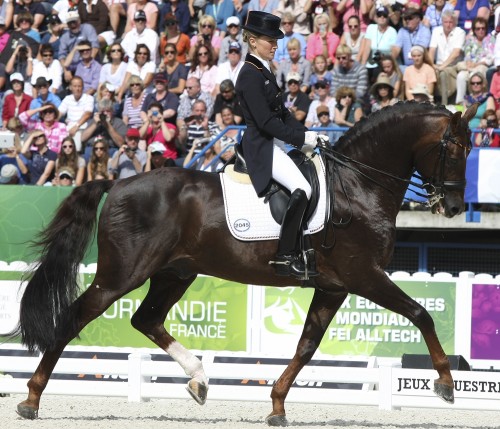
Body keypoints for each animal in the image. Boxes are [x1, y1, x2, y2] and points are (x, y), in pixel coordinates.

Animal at [8, 101, 476, 424]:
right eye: (455, 150)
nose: (453, 207)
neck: (358, 185)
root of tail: (118, 182)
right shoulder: (364, 276)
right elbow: (420, 314)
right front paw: (446, 383)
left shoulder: (334, 286)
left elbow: (306, 346)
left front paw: (277, 406)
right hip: (121, 275)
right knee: (75, 318)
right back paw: (31, 399)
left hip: (175, 273)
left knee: (146, 319)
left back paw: (199, 378)